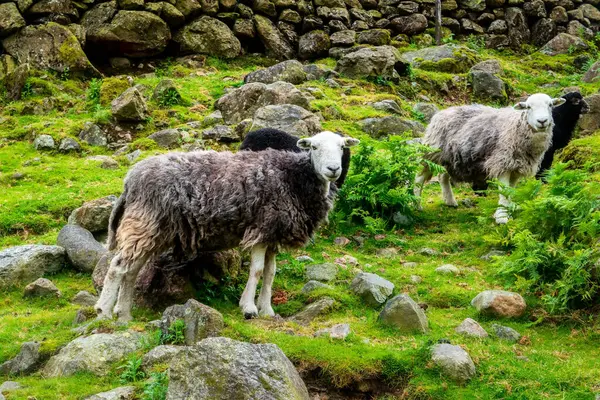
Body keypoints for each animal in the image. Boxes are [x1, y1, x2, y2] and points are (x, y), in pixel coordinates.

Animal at [96, 131, 358, 322]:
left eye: (342, 147)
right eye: (314, 147)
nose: (333, 170)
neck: (292, 177)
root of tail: (131, 179)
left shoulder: (273, 232)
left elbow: (271, 273)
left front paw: (268, 310)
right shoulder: (260, 228)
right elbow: (257, 271)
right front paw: (249, 308)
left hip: (154, 230)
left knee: (131, 271)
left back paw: (125, 315)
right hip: (143, 223)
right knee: (117, 267)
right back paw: (104, 312)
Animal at [414, 94, 564, 225]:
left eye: (550, 105)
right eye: (528, 107)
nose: (542, 121)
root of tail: (442, 112)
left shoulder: (516, 167)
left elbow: (510, 190)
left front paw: (508, 209)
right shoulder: (502, 162)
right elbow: (504, 191)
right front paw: (502, 217)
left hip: (448, 157)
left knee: (442, 176)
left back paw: (450, 201)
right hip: (432, 152)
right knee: (419, 177)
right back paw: (416, 203)